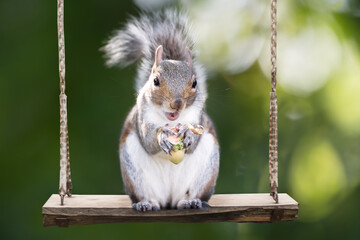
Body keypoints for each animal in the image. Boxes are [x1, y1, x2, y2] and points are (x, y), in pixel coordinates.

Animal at [102, 8, 219, 212]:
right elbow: (149, 141)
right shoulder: (142, 117)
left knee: (190, 196)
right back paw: (146, 203)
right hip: (135, 176)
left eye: (194, 83)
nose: (177, 104)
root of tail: (169, 199)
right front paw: (161, 136)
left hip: (206, 172)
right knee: (149, 197)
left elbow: (194, 140)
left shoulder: (198, 117)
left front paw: (188, 134)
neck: (170, 120)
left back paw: (190, 201)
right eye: (155, 81)